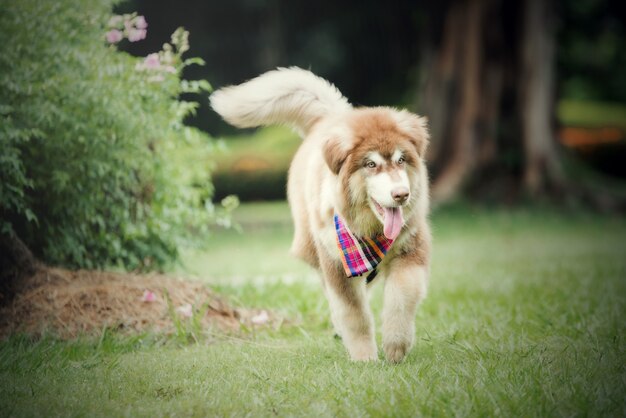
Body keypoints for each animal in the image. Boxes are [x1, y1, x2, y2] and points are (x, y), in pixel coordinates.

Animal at [210, 68, 428, 362]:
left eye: (401, 160)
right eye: (371, 164)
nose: (401, 194)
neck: (370, 230)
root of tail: (329, 118)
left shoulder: (411, 251)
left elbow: (400, 300)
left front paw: (396, 346)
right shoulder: (335, 263)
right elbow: (355, 314)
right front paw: (365, 358)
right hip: (311, 246)